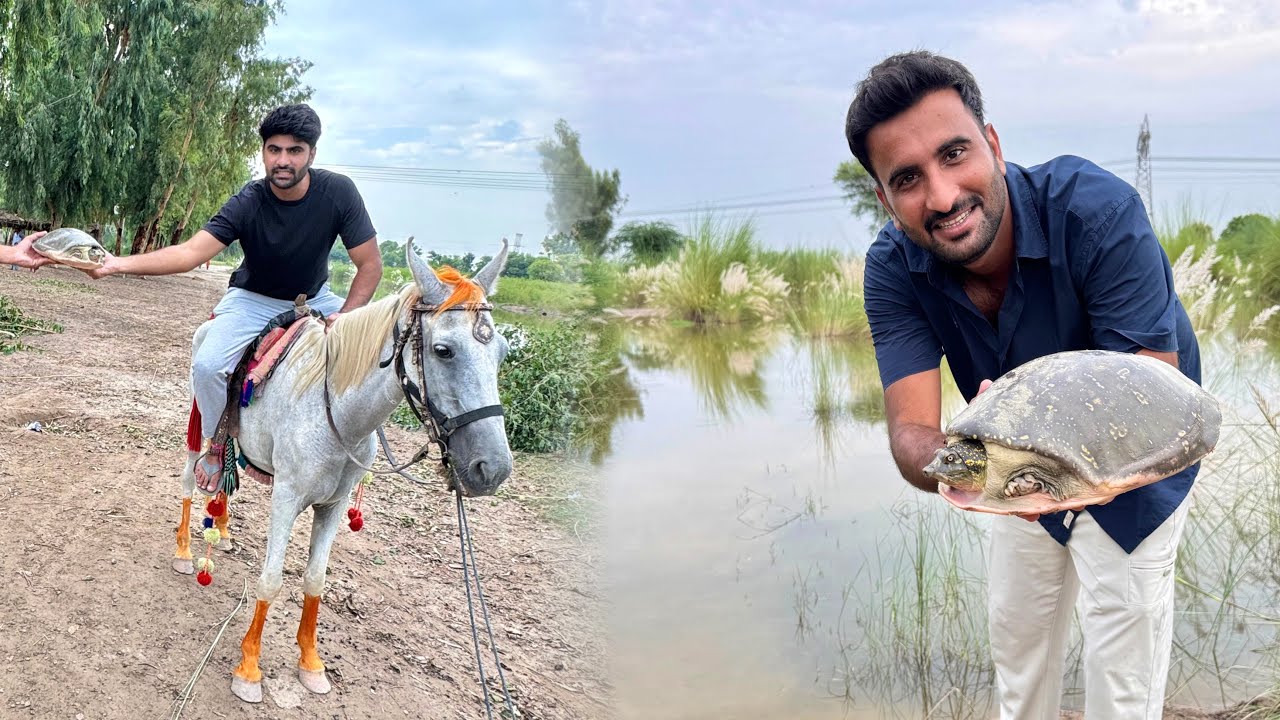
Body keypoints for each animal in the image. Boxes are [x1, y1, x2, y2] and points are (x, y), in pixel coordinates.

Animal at [171, 238, 513, 703]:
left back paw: (221, 531)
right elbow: (271, 580)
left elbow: (315, 580)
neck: (334, 410)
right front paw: (249, 669)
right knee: (193, 478)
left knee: (226, 478)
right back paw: (186, 552)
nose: (492, 468)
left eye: (502, 352)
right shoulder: (287, 498)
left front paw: (311, 663)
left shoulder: (332, 506)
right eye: (443, 350)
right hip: (198, 421)